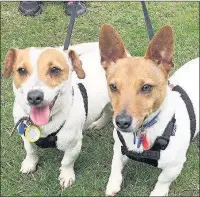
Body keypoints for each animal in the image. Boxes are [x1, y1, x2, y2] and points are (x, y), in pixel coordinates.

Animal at [3, 42, 111, 189]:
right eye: (21, 70)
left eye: (54, 69)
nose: (34, 97)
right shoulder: (25, 136)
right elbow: (30, 151)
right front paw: (30, 163)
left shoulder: (74, 145)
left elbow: (67, 162)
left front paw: (66, 175)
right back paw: (99, 124)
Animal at [98, 25, 198, 196]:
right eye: (113, 86)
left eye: (146, 87)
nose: (121, 122)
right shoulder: (119, 148)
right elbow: (115, 164)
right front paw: (113, 184)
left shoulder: (175, 166)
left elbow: (163, 180)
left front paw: (158, 192)